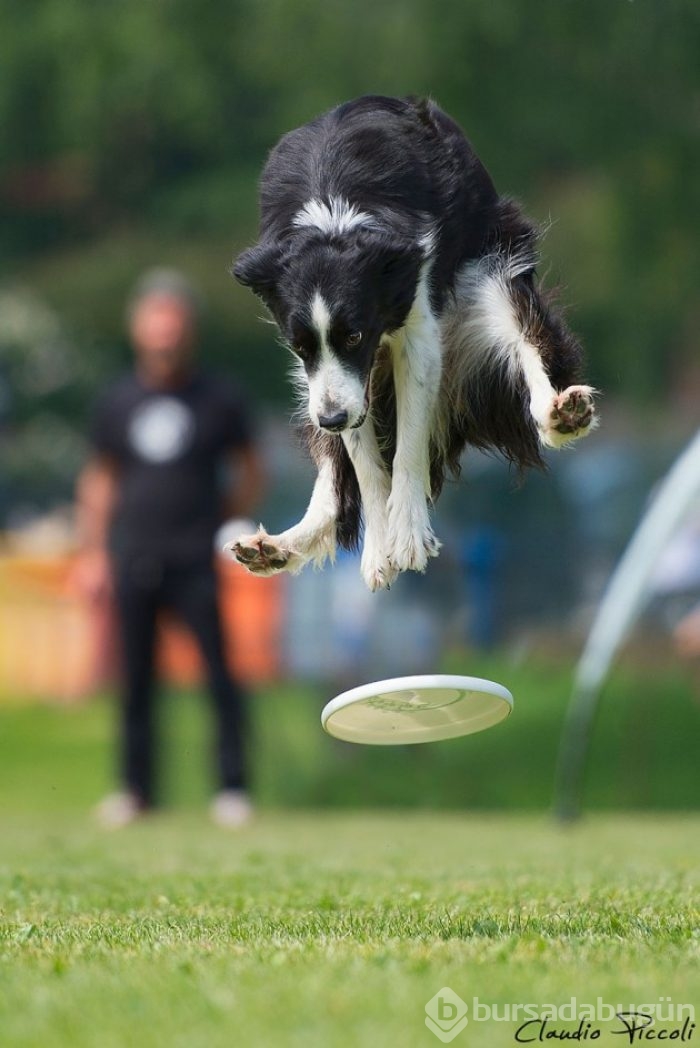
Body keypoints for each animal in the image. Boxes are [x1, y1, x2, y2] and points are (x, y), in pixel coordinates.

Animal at [229, 96, 595, 591]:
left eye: (355, 334)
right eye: (300, 345)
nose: (331, 419)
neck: (333, 219)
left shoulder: (412, 319)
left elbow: (408, 439)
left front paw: (407, 537)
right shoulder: (338, 378)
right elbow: (362, 459)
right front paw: (379, 550)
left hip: (491, 271)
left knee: (524, 338)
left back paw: (561, 414)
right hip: (317, 392)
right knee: (333, 473)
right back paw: (276, 547)